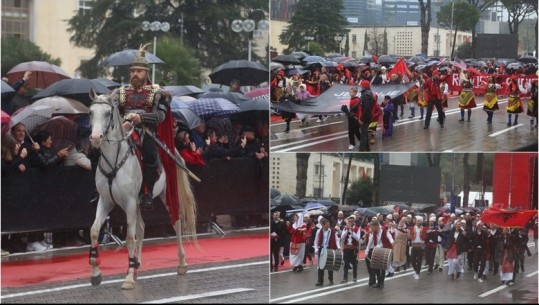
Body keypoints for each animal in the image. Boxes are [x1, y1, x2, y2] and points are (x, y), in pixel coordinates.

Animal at [87, 88, 197, 290]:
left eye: (107, 113)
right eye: (91, 113)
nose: (96, 138)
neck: (115, 160)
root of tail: (173, 150)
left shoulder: (129, 203)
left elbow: (130, 238)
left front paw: (129, 278)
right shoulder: (106, 201)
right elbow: (94, 231)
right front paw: (96, 273)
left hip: (167, 195)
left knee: (176, 222)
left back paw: (181, 263)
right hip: (138, 203)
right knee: (142, 228)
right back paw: (136, 266)